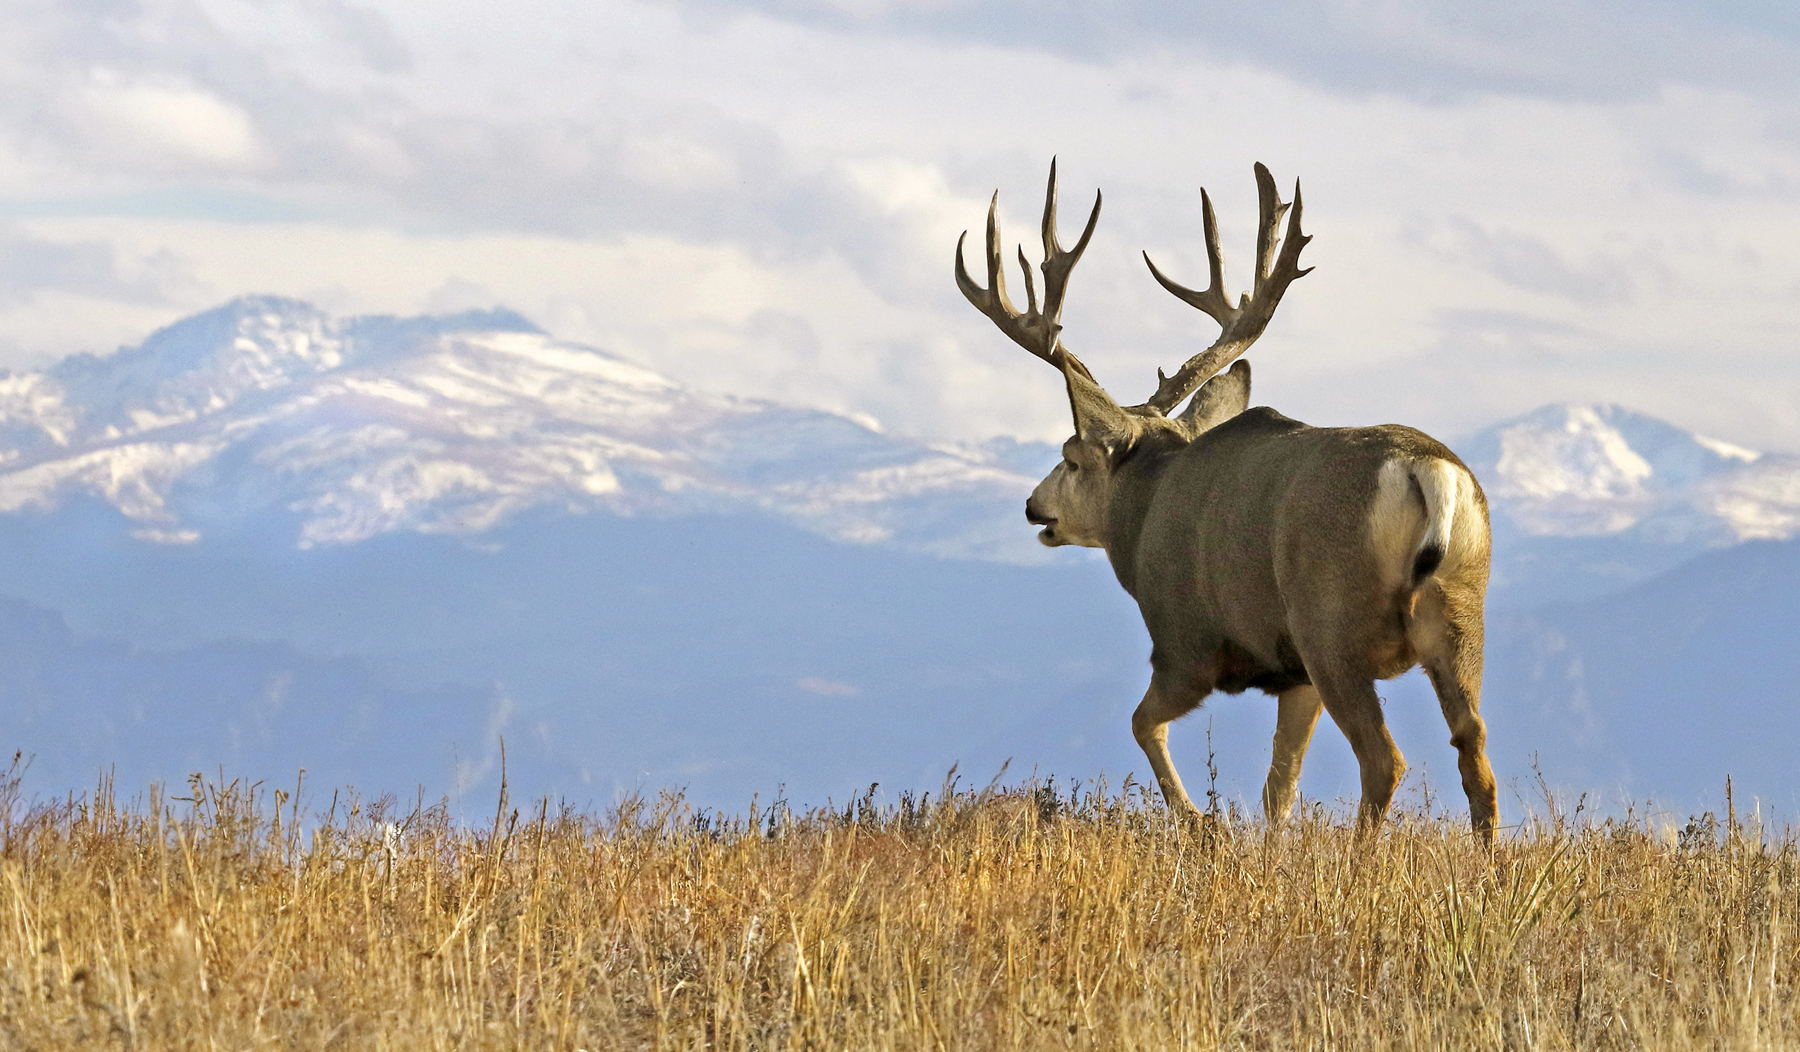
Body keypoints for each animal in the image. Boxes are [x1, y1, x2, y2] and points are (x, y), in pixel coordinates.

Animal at [954, 161, 1498, 843]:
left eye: (1071, 456)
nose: (1034, 506)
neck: (1144, 511)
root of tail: (1425, 469)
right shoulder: (1293, 674)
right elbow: (1279, 786)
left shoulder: (1185, 641)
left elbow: (1143, 724)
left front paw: (1198, 822)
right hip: (1458, 611)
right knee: (1474, 748)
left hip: (1330, 620)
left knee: (1386, 759)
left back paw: (1358, 857)